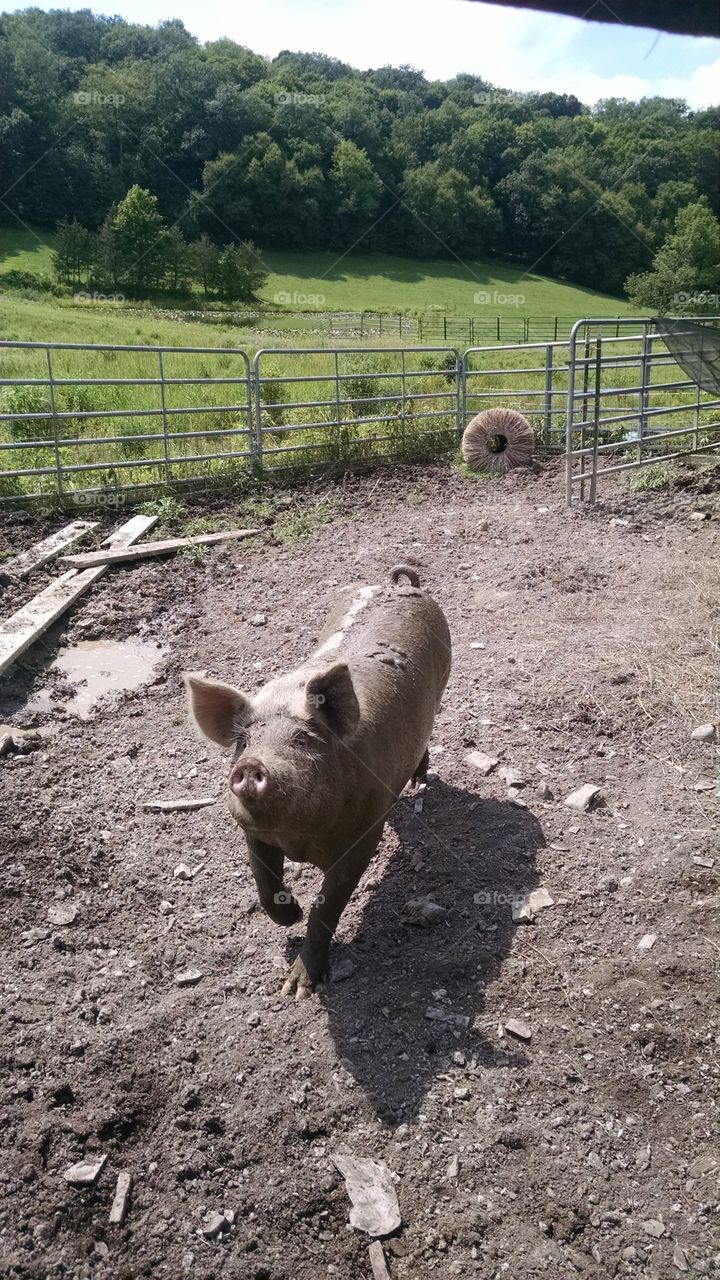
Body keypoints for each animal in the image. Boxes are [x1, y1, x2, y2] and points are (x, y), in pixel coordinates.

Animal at [184, 568, 448, 998]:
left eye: (302, 740)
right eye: (244, 742)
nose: (252, 765)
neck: (298, 837)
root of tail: (398, 583)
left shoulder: (362, 838)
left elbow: (327, 907)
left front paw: (298, 990)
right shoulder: (254, 833)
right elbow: (264, 882)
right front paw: (290, 916)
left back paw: (419, 782)